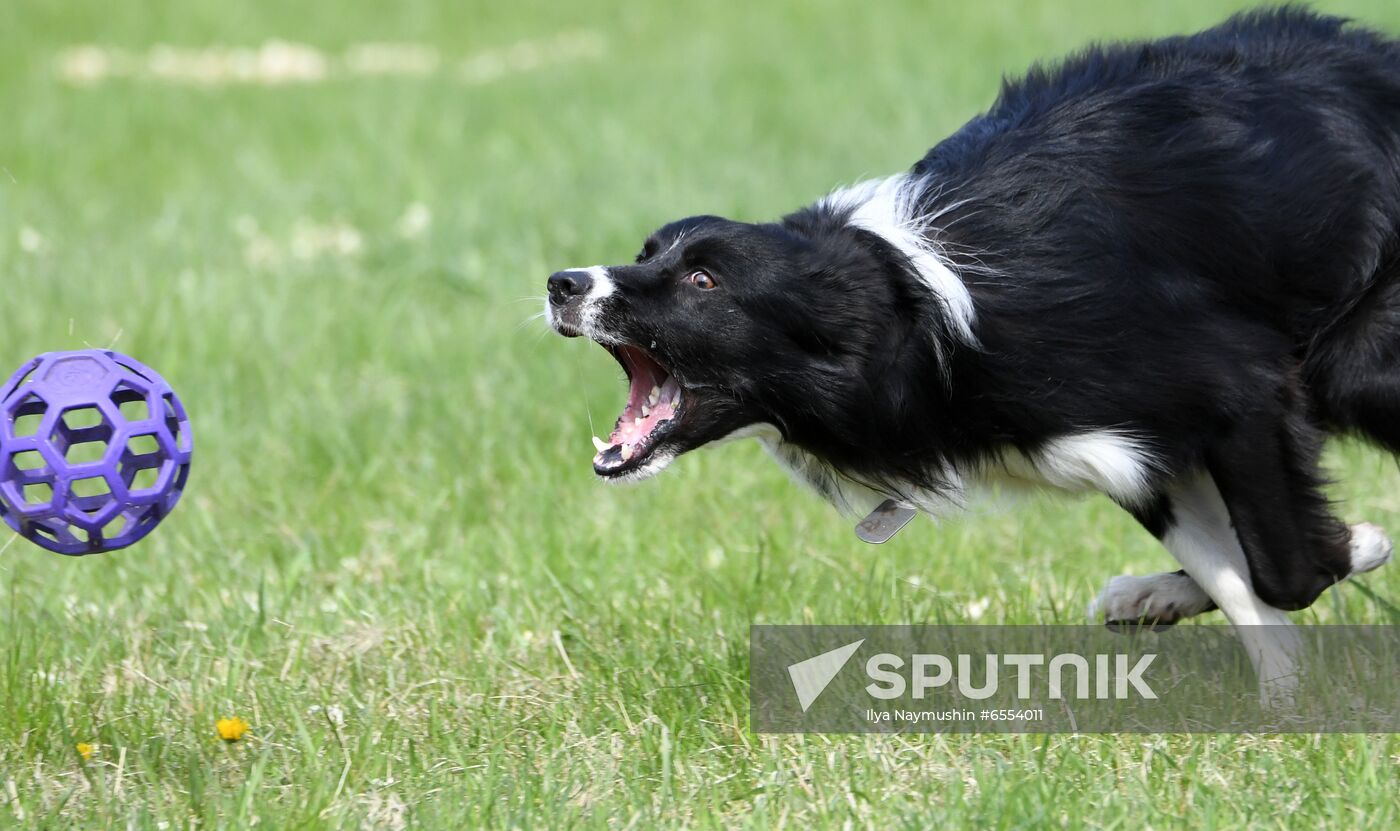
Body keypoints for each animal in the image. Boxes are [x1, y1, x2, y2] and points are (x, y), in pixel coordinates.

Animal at [546, 9, 1400, 688]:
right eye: (648, 250)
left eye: (703, 279)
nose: (562, 282)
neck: (917, 316)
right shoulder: (1131, 450)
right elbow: (1237, 575)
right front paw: (1277, 689)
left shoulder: (1238, 385)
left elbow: (1282, 569)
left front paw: (1357, 546)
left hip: (1361, 363)